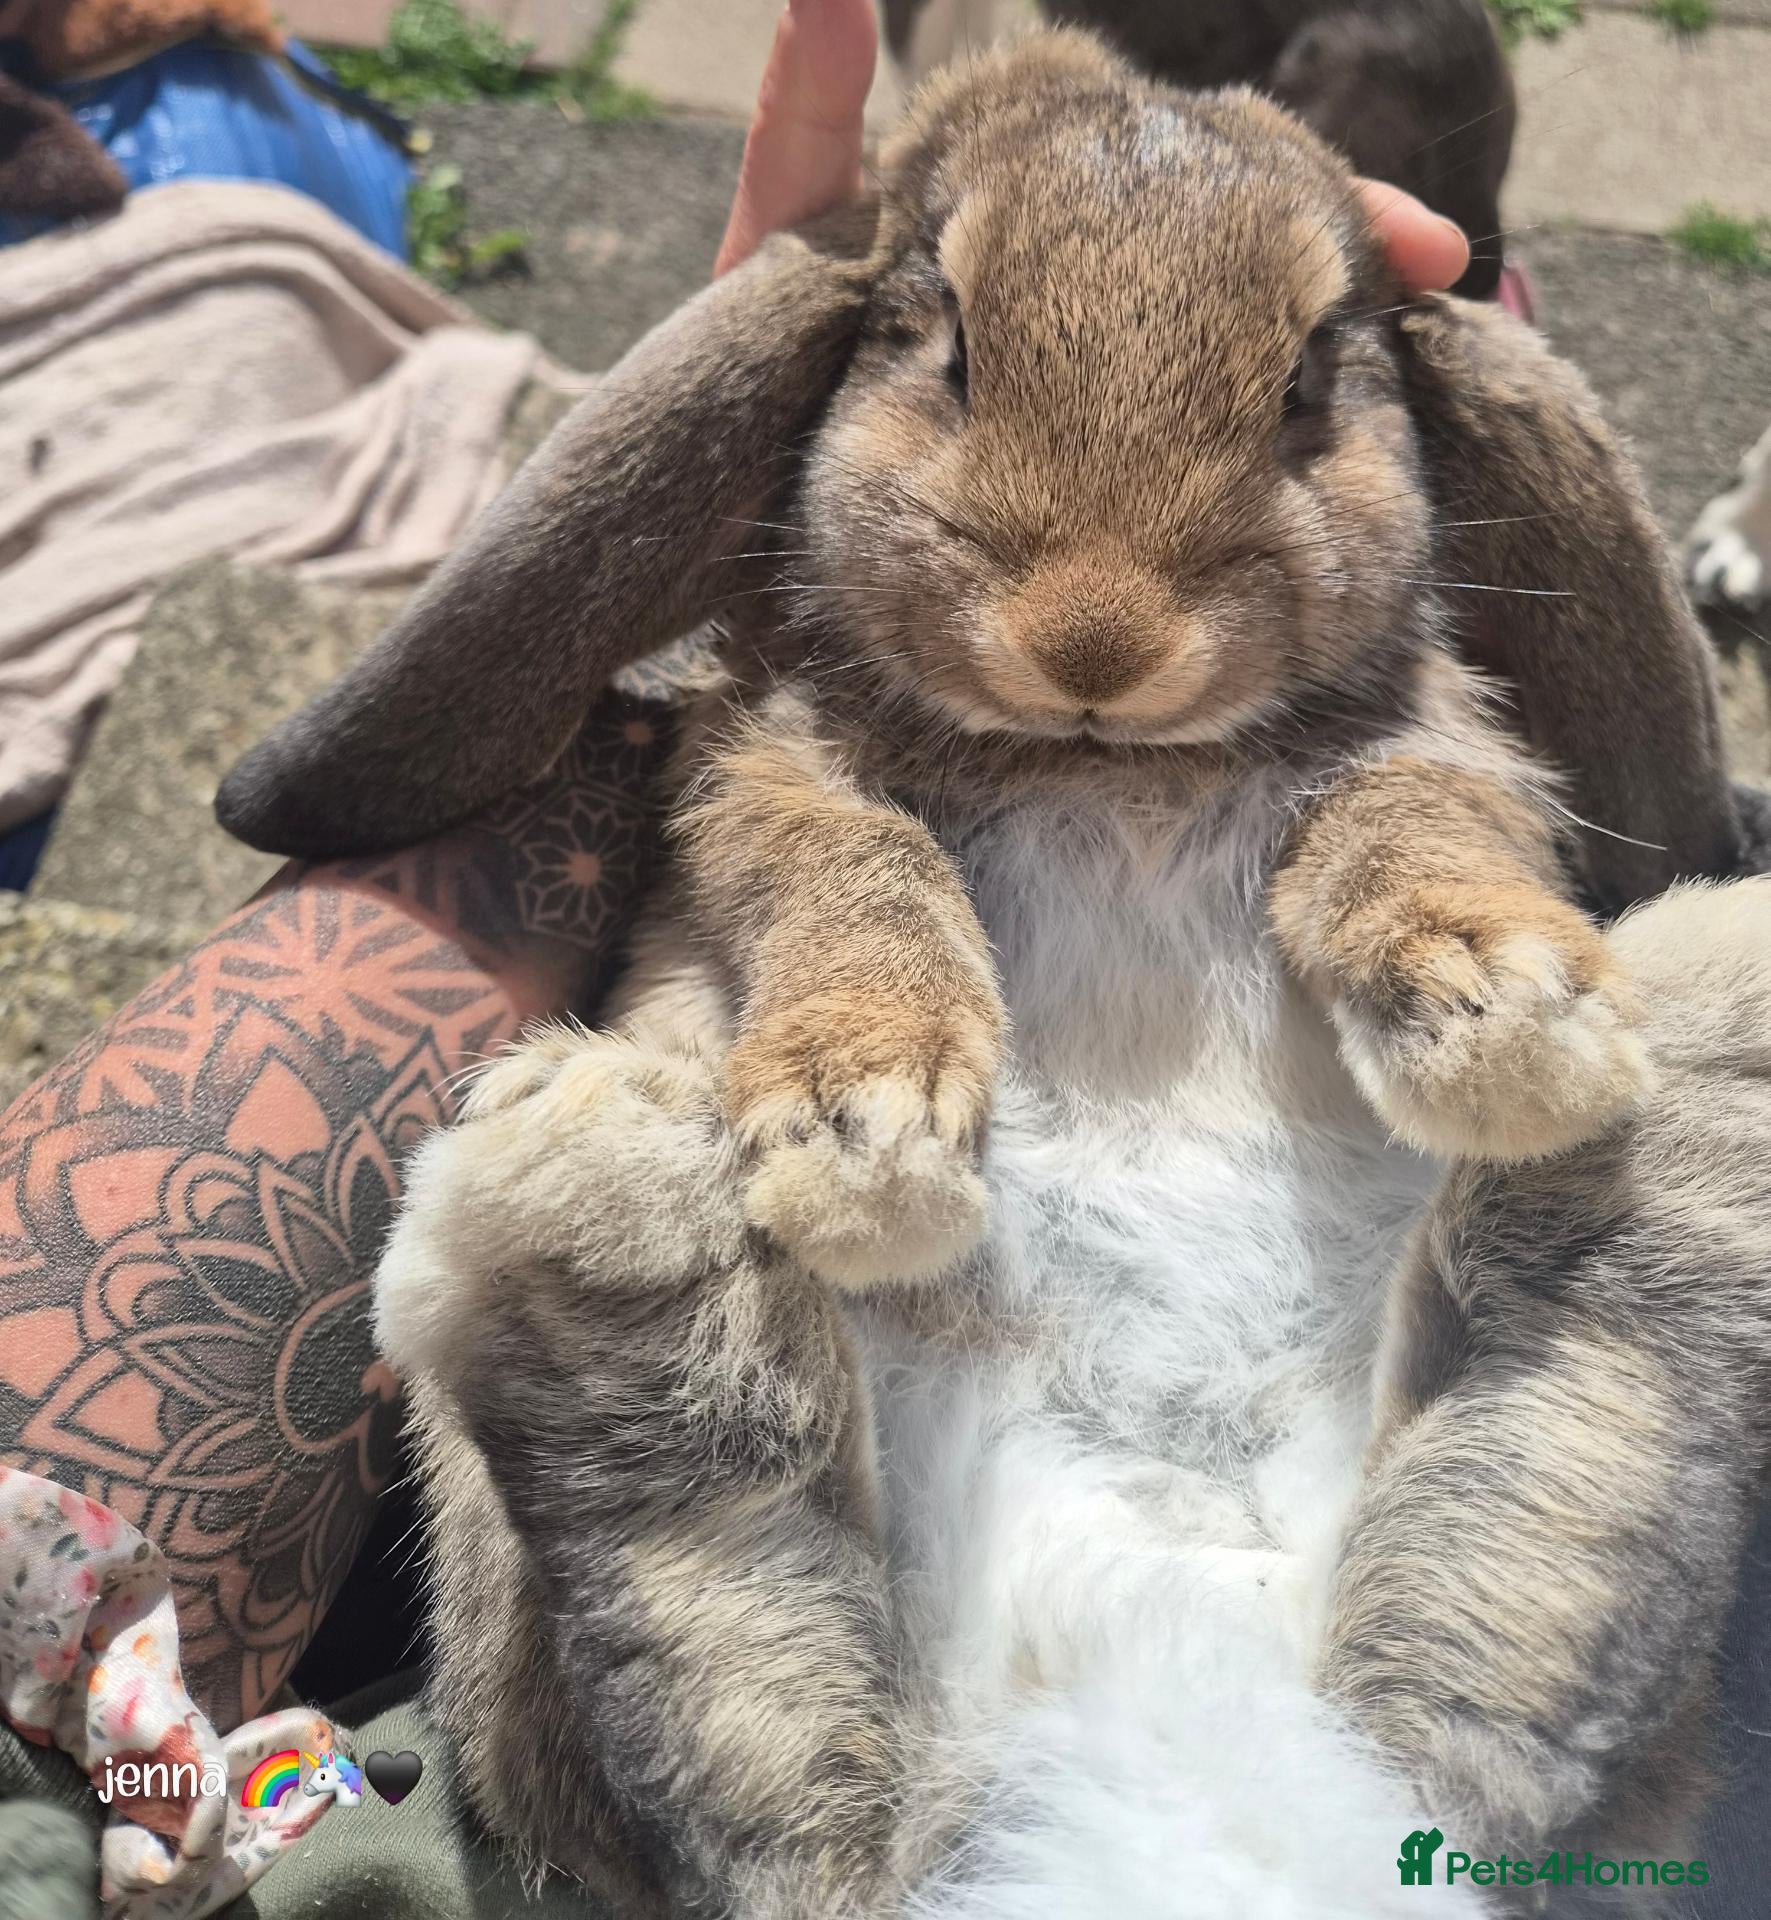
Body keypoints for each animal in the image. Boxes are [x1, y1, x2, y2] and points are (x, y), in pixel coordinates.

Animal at [215, 31, 1771, 1919]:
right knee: (736, 1723)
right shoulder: (780, 771)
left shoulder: (1427, 751)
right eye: (939, 334)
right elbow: (852, 880)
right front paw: (865, 1133)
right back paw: (613, 1186)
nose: (1093, 637)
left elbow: (1403, 828)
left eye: (1312, 376)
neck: (1112, 769)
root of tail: (1159, 1770)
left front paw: (1506, 1023)